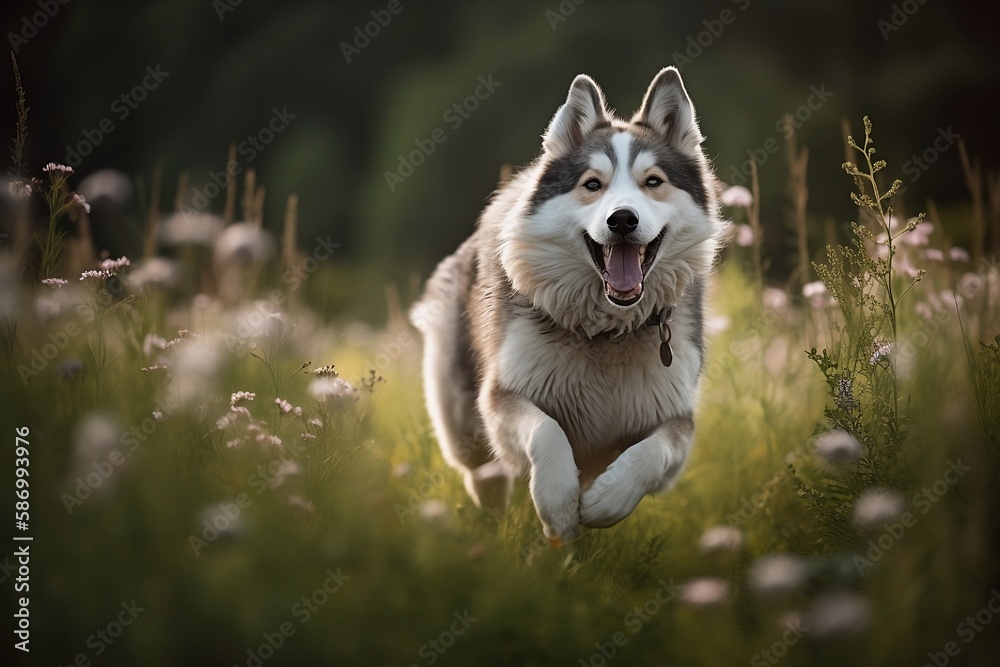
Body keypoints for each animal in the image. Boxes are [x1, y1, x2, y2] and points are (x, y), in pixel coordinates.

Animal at [410, 68, 724, 544]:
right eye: (592, 185)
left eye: (653, 181)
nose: (622, 219)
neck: (608, 332)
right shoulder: (503, 397)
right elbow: (547, 431)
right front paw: (558, 503)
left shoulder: (675, 419)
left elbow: (653, 452)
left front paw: (607, 499)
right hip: (463, 429)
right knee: (486, 479)